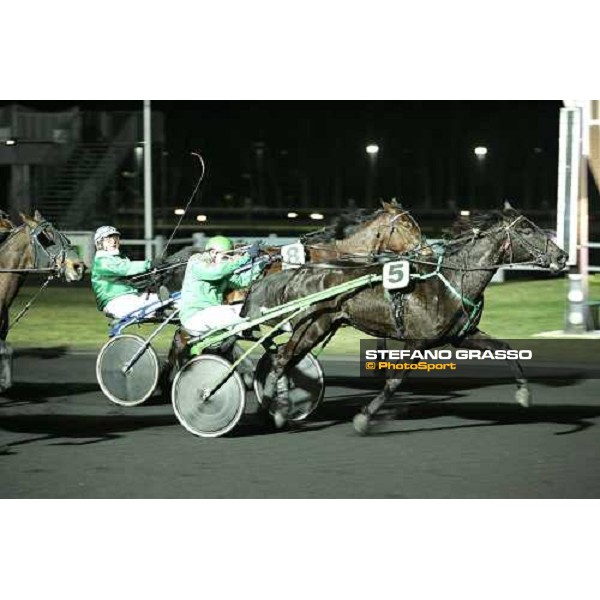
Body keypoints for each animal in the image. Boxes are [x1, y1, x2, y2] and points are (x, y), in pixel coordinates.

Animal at [243, 206, 568, 432]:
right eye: (526, 228)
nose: (562, 257)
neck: (451, 281)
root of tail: (300, 271)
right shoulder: (416, 342)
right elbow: (395, 380)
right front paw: (364, 418)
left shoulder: (462, 335)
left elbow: (507, 349)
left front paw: (524, 395)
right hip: (312, 325)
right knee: (282, 359)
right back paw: (272, 410)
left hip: (319, 326)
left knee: (285, 361)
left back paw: (277, 408)